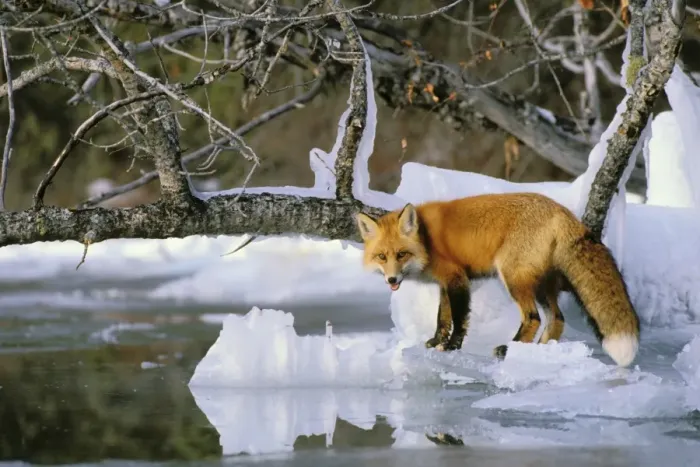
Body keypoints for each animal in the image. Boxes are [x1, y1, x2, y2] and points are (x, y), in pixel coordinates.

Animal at [354, 192, 641, 368]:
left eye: (401, 254)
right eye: (382, 256)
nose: (391, 279)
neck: (426, 239)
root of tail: (561, 211)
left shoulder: (457, 278)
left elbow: (459, 318)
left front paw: (452, 346)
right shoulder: (446, 283)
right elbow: (442, 318)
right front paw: (435, 342)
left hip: (513, 277)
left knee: (533, 318)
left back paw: (509, 349)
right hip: (540, 284)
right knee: (557, 319)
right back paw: (538, 354)